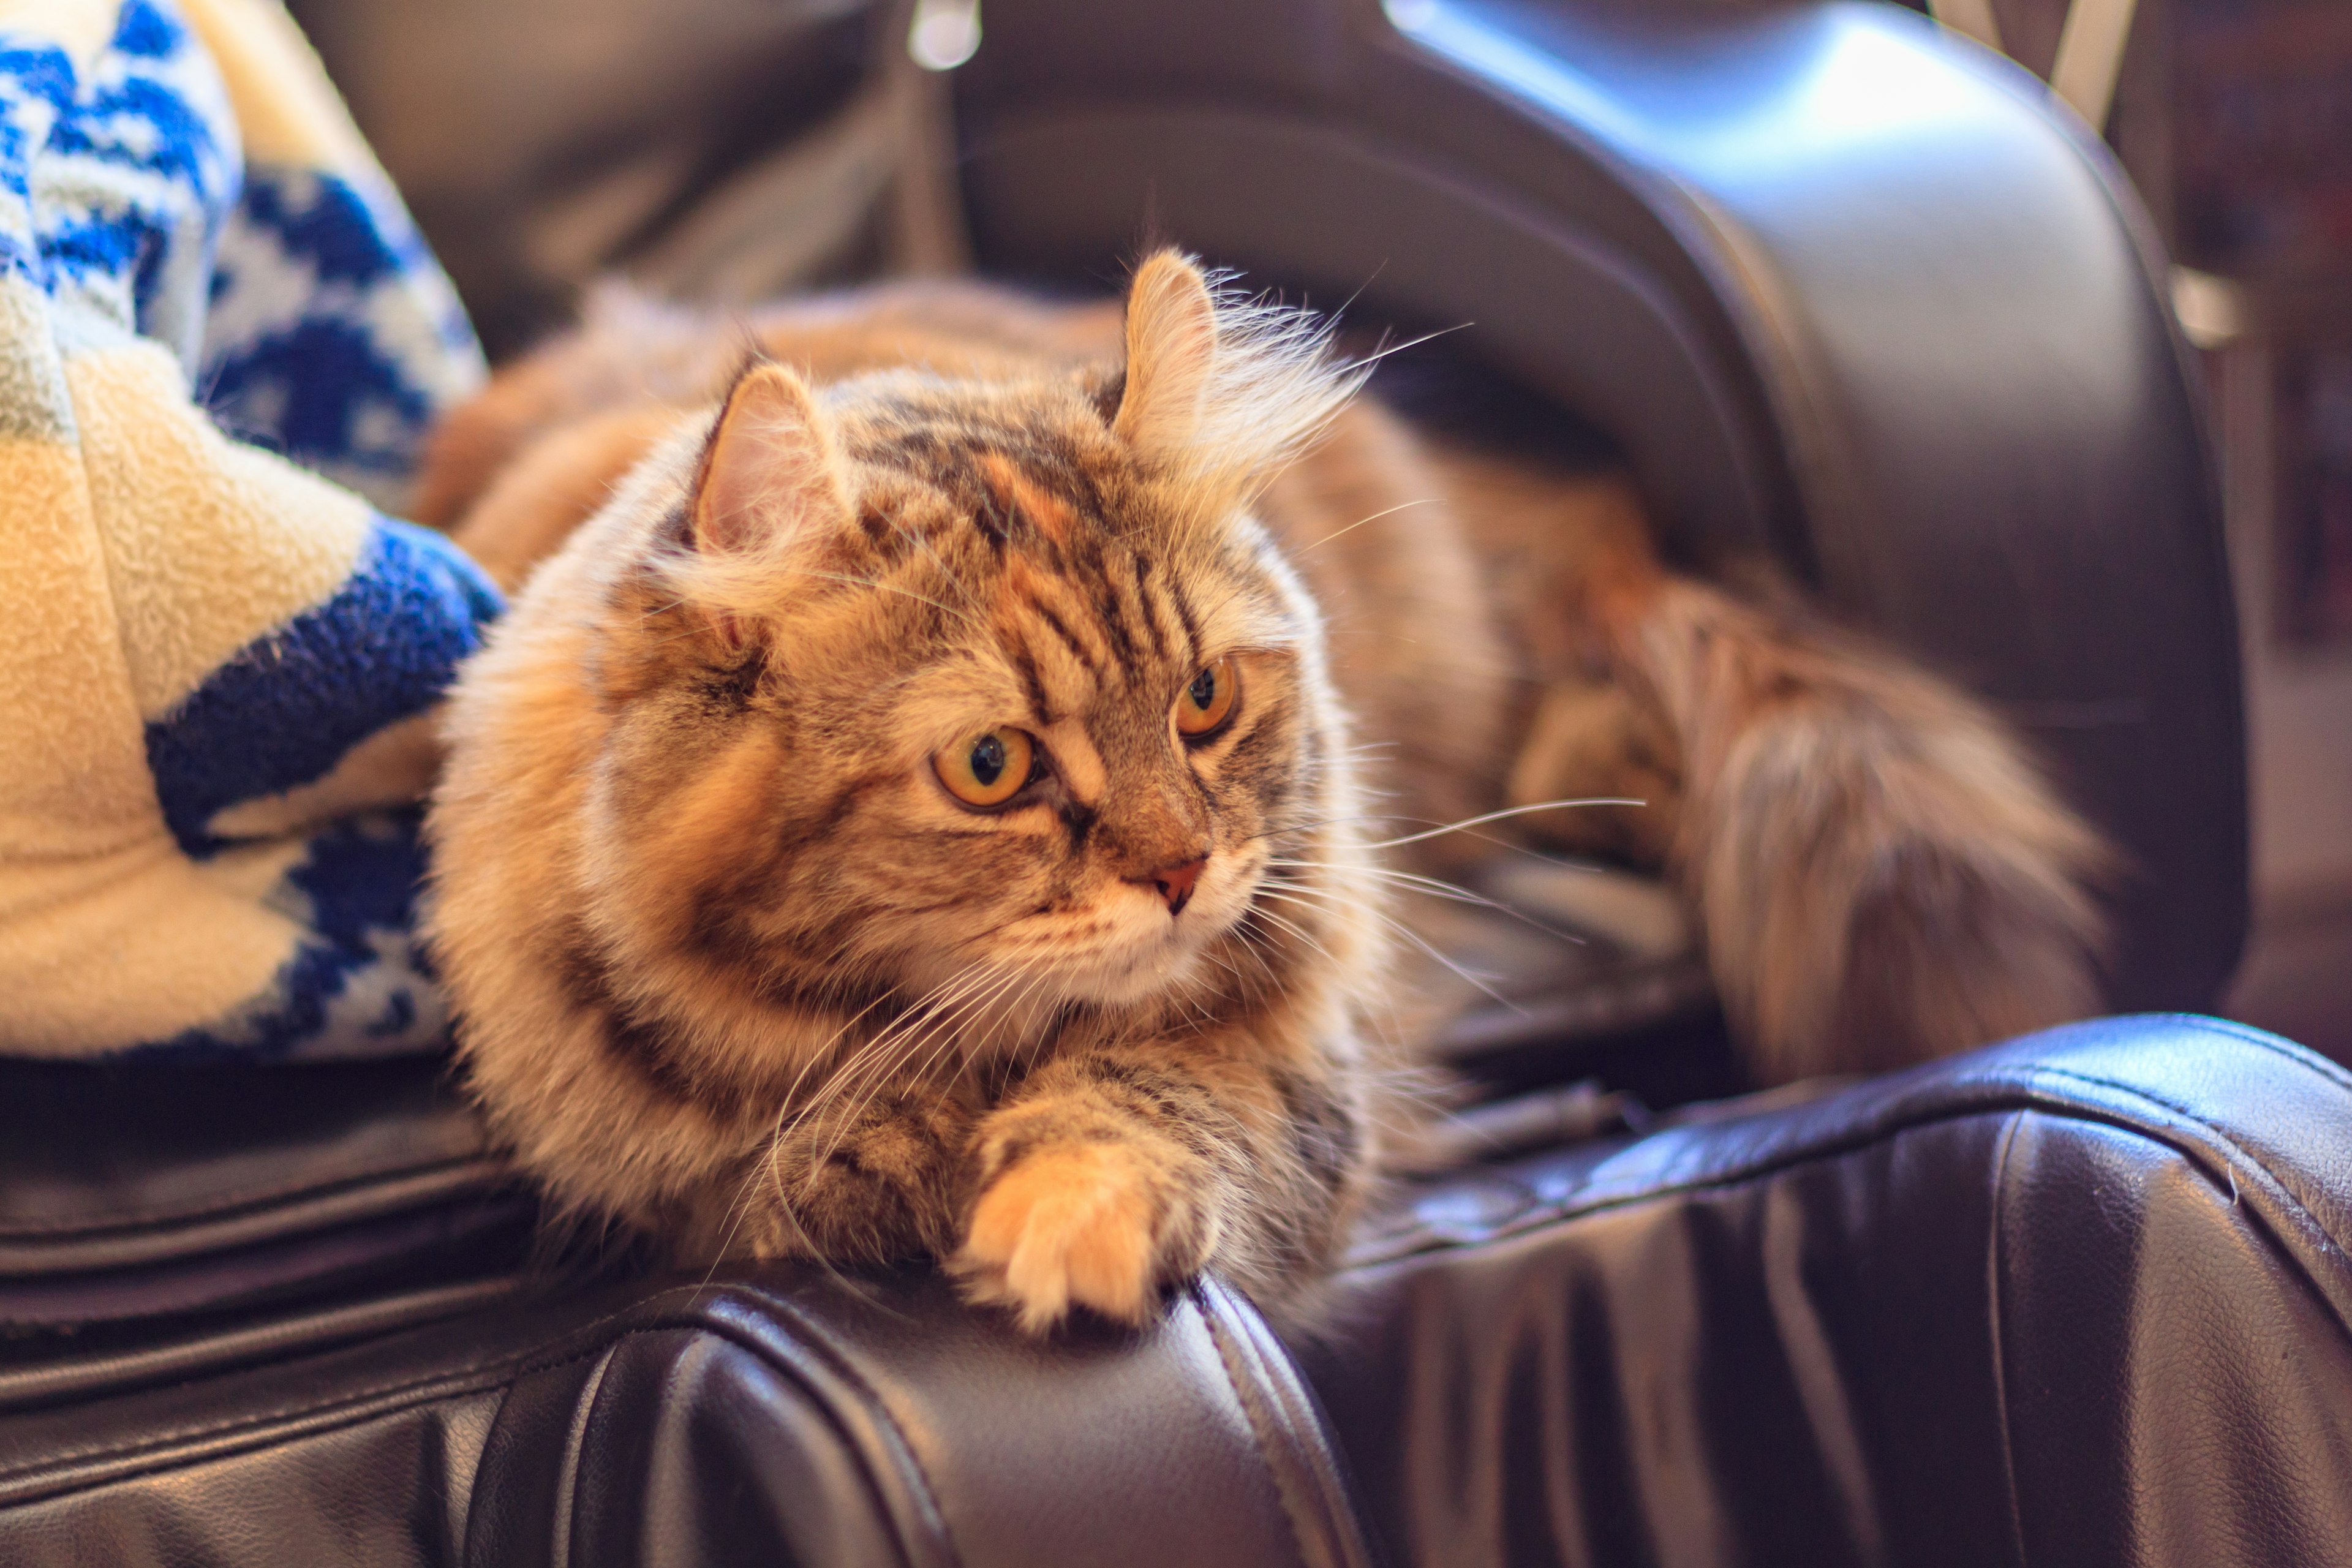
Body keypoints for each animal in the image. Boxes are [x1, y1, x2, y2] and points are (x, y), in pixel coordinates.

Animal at [423, 251, 2117, 1335]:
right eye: (993, 766)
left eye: (1203, 699)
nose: (1181, 870)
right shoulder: (653, 1173)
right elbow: (779, 1173)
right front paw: (888, 1151)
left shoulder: (1306, 1064)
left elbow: (1162, 1100)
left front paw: (1069, 1209)